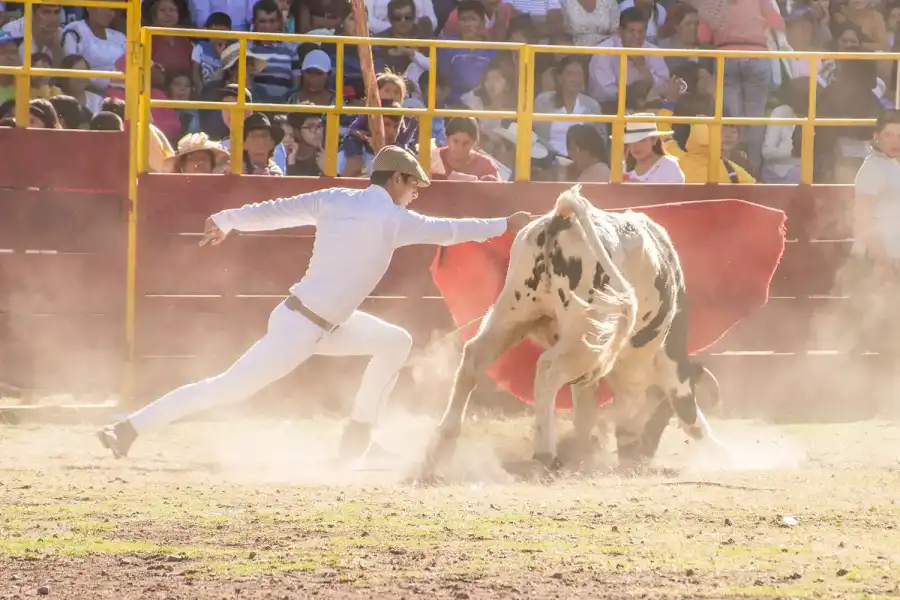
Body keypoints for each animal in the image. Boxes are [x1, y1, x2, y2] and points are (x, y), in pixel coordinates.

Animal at [424, 186, 732, 478]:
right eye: (662, 416)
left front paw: (584, 454)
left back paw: (442, 446)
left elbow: (586, 410)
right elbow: (689, 416)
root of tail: (562, 218)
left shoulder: (593, 369)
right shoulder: (666, 367)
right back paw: (546, 452)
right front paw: (723, 453)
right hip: (585, 332)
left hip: (514, 312)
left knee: (474, 356)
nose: (641, 454)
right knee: (548, 368)